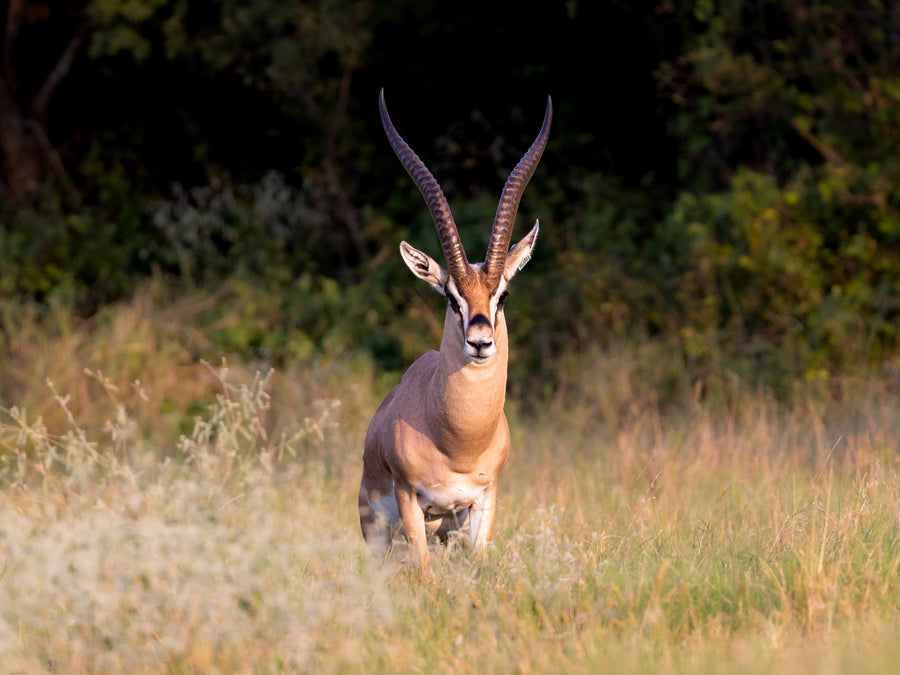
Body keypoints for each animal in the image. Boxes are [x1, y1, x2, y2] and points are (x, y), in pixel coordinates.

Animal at [358, 89, 551, 568]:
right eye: (450, 297)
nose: (480, 343)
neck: (457, 445)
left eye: (503, 295)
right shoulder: (410, 500)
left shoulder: (484, 500)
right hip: (380, 533)